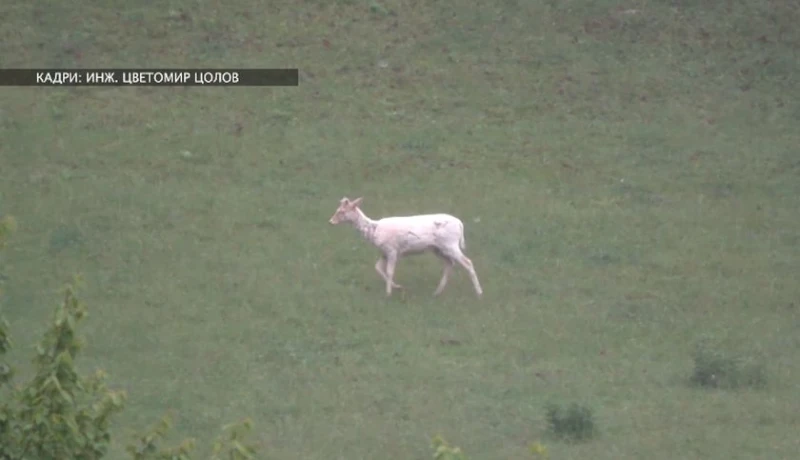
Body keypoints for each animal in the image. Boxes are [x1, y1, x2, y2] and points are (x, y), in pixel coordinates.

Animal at [326, 195, 482, 296]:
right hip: (438, 249)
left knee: (467, 262)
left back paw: (479, 293)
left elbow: (389, 271)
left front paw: (388, 293)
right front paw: (397, 287)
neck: (374, 230)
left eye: (341, 211)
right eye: (338, 210)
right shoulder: (384, 252)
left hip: (450, 244)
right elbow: (377, 267)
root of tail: (460, 224)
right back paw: (436, 292)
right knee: (449, 264)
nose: (330, 222)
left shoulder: (392, 250)